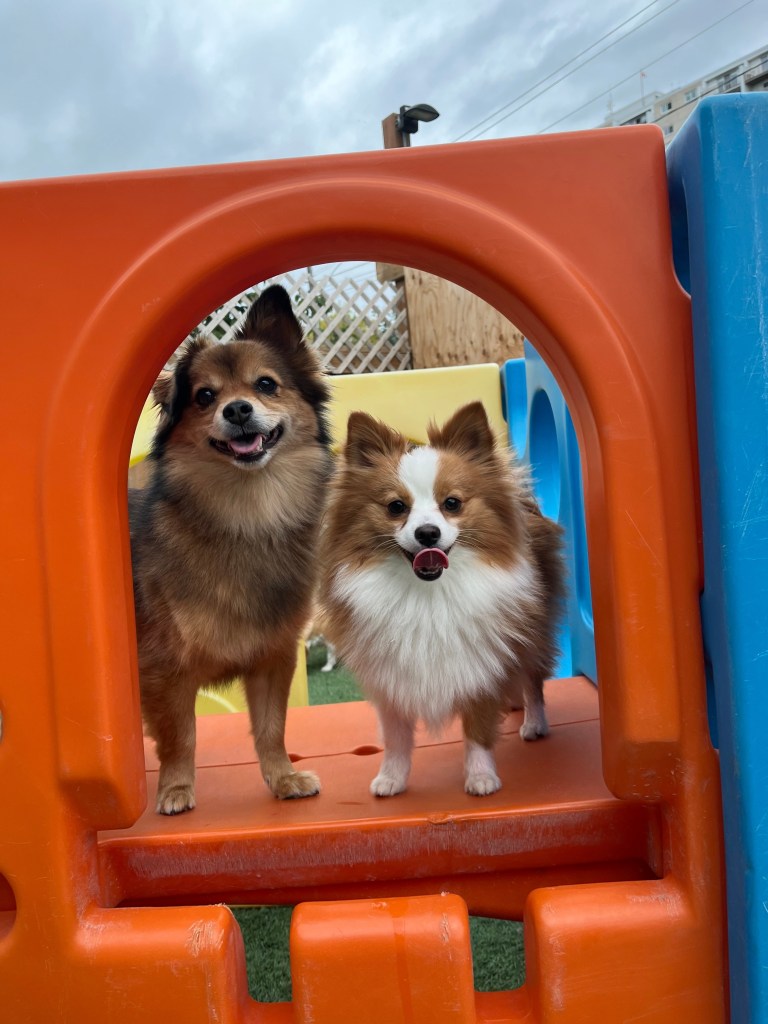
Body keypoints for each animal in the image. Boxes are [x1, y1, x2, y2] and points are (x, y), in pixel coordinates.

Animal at [129, 284, 332, 814]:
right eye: (205, 396)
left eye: (266, 385)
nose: (237, 410)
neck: (246, 515)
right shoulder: (165, 672)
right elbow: (181, 736)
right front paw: (176, 789)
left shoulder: (271, 660)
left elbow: (271, 728)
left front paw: (283, 779)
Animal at [319, 401, 564, 797]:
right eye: (395, 507)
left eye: (452, 503)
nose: (427, 532)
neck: (428, 594)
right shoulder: (390, 676)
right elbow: (396, 737)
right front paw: (391, 778)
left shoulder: (480, 664)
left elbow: (477, 731)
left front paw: (481, 777)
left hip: (533, 633)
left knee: (532, 679)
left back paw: (534, 723)